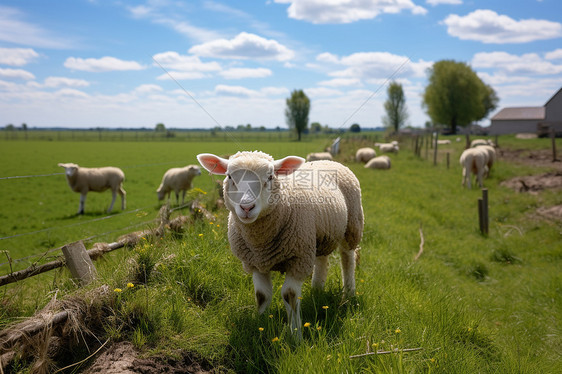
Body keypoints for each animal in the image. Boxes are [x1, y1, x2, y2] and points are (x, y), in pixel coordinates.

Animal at [197, 150, 364, 338]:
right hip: (319, 234)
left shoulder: (298, 259)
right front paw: (261, 325)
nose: (247, 207)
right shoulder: (256, 262)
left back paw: (348, 294)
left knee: (347, 259)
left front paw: (296, 334)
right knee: (322, 259)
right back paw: (317, 289)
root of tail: (326, 160)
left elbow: (289, 294)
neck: (260, 243)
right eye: (229, 176)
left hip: (352, 225)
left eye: (270, 177)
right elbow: (262, 295)